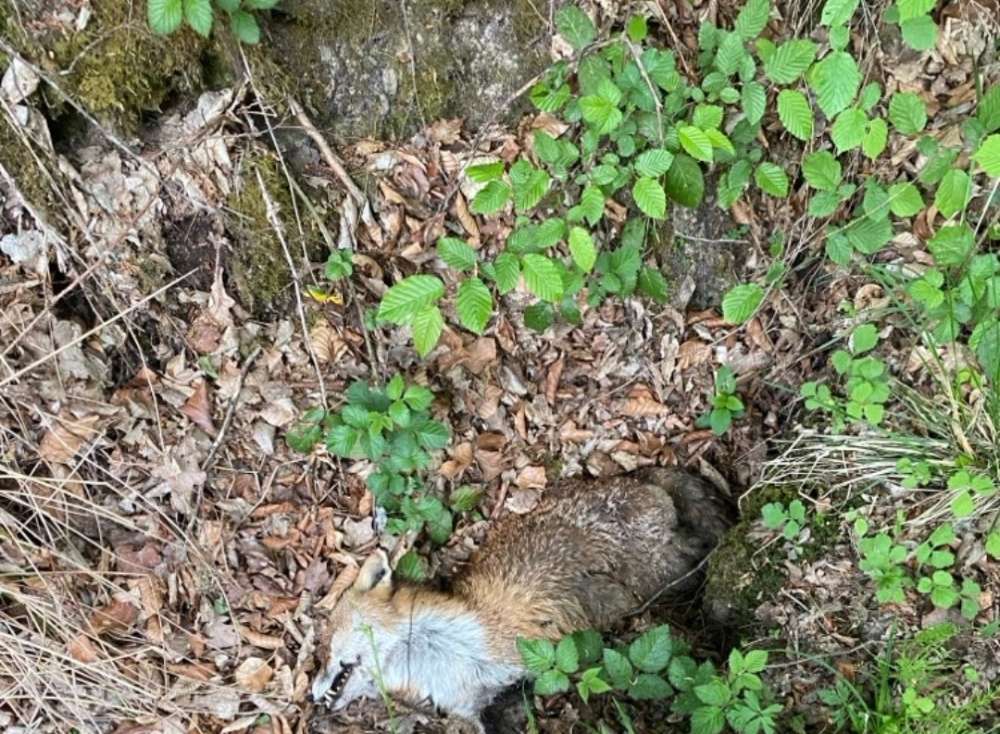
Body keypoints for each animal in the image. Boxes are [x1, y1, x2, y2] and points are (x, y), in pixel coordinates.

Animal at [310, 467, 731, 730]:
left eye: (326, 646)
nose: (313, 695)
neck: (438, 655)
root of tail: (634, 476)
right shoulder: (483, 702)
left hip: (660, 569)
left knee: (696, 550)